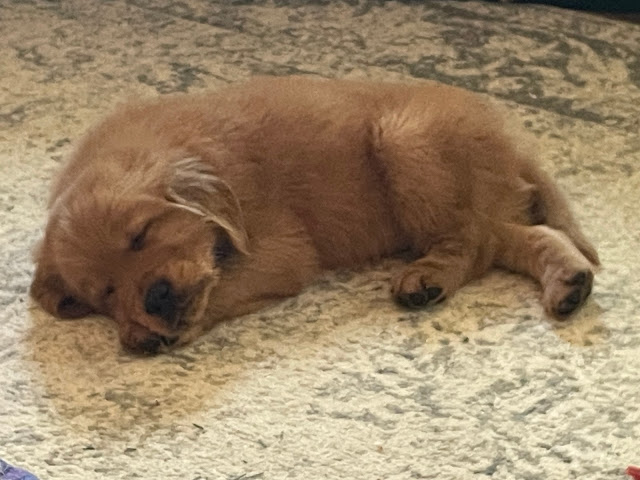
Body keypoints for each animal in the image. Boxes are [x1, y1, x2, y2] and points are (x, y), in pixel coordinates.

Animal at [30, 75, 600, 352]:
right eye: (104, 291)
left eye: (142, 234)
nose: (155, 298)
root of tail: (514, 139)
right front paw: (136, 325)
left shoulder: (281, 252)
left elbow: (220, 290)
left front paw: (149, 332)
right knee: (519, 234)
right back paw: (569, 282)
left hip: (406, 141)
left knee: (476, 244)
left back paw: (428, 278)